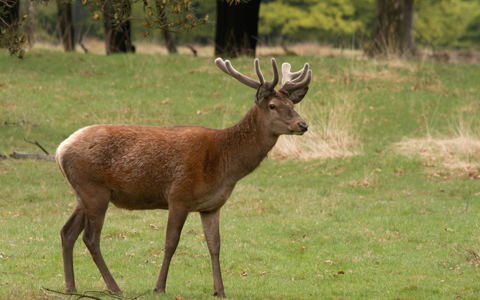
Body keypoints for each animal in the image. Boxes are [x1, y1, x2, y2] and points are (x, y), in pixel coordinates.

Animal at [56, 56, 314, 298]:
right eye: (272, 105)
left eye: (292, 103)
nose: (302, 125)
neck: (225, 165)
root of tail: (60, 150)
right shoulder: (179, 195)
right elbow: (171, 242)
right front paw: (159, 287)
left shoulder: (211, 206)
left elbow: (215, 245)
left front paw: (220, 291)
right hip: (95, 190)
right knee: (90, 238)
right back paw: (114, 287)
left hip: (82, 193)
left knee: (67, 232)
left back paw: (70, 287)